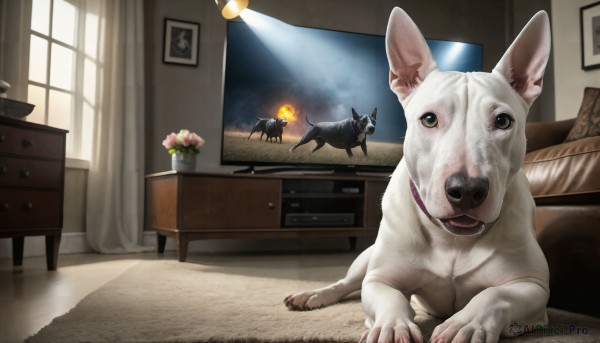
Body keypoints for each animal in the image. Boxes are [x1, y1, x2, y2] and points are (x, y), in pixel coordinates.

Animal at [284, 8, 552, 343]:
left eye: (503, 121)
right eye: (429, 119)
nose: (466, 191)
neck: (452, 240)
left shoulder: (533, 287)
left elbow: (494, 295)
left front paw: (465, 324)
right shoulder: (380, 278)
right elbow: (390, 296)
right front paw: (391, 326)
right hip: (366, 258)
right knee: (345, 284)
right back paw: (310, 295)